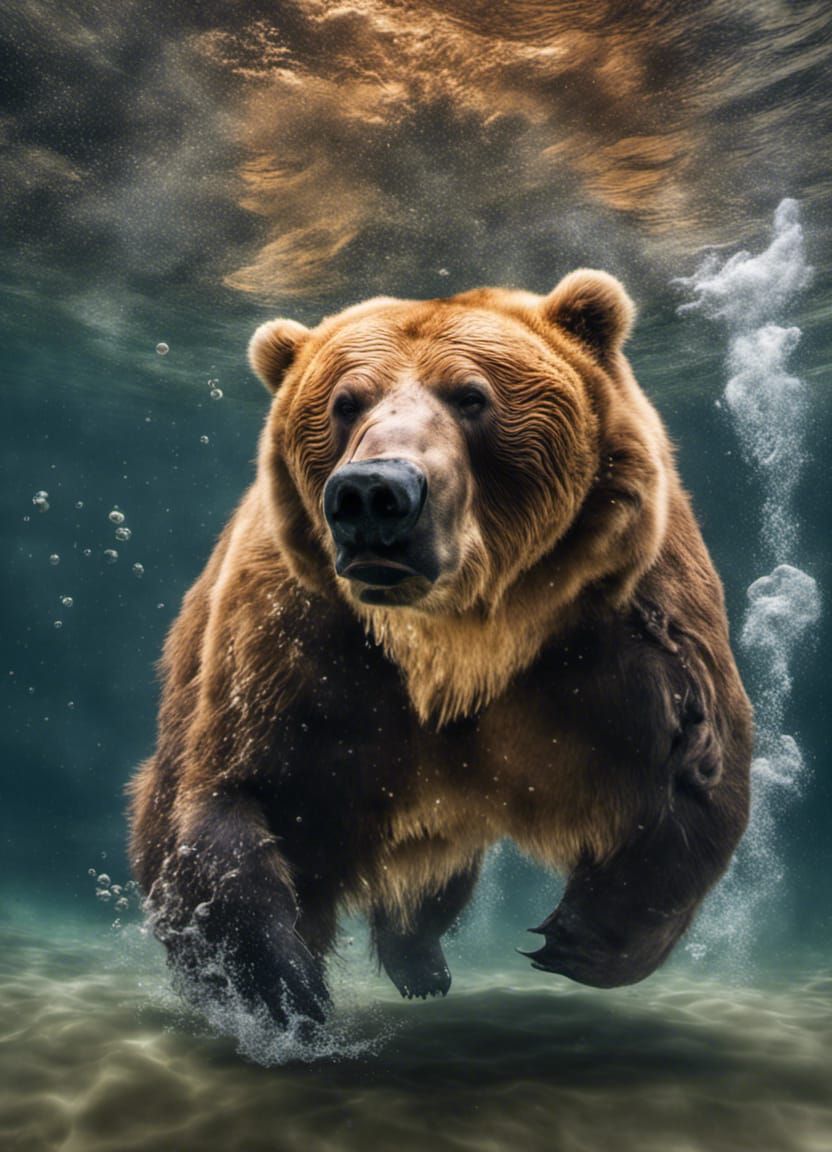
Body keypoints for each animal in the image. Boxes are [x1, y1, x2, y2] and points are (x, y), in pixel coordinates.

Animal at [128, 270, 752, 1026]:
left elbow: (694, 766)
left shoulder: (614, 626)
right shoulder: (301, 644)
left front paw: (582, 936)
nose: (374, 491)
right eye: (345, 402)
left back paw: (420, 961)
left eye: (472, 395)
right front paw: (286, 991)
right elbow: (235, 795)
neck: (452, 641)